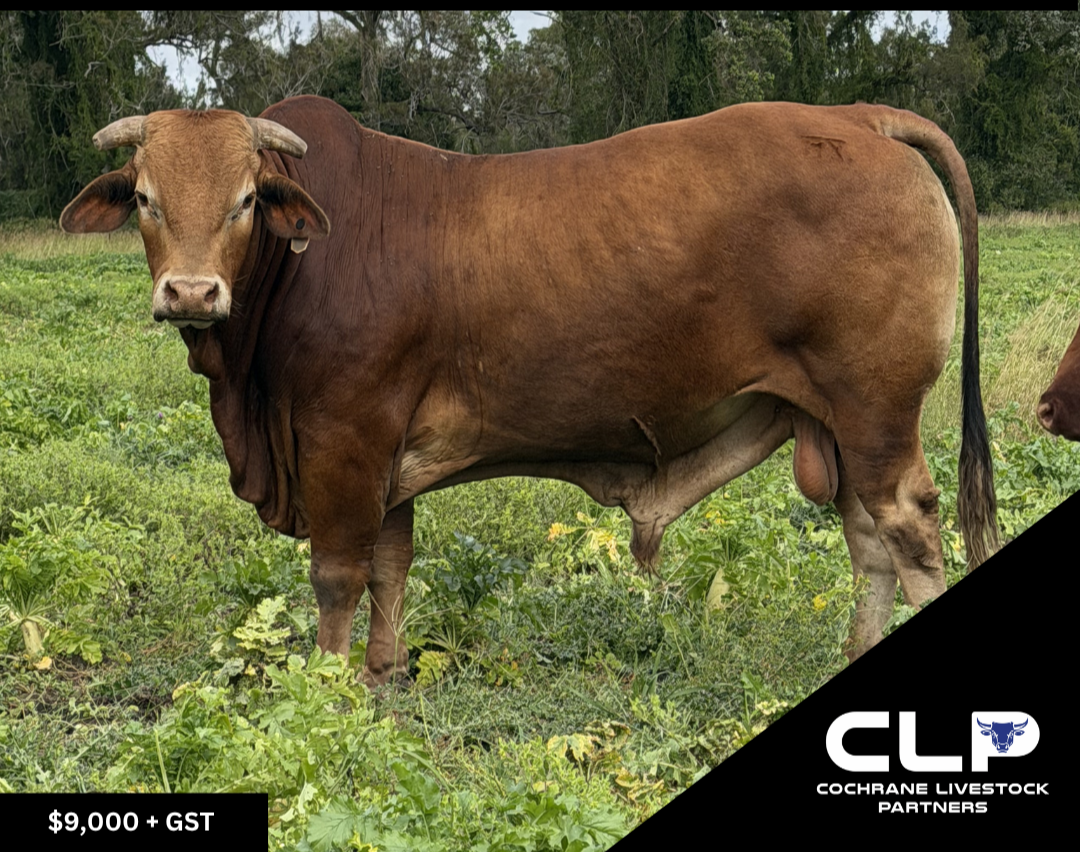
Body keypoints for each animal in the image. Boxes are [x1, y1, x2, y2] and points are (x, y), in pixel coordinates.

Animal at [60, 96, 1000, 685]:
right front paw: (381, 682)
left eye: (247, 200)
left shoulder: (343, 441)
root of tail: (857, 117)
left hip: (878, 411)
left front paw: (326, 694)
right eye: (143, 198)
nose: (191, 294)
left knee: (908, 532)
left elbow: (338, 577)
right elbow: (392, 569)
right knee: (869, 542)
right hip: (837, 423)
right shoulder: (387, 455)